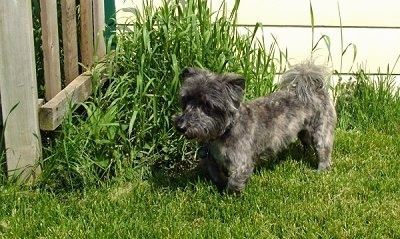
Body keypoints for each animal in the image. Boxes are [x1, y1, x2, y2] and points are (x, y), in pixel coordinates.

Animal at [172, 61, 338, 194]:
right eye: (185, 101)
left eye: (206, 105)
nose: (180, 126)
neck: (225, 131)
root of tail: (315, 88)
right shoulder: (211, 159)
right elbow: (217, 175)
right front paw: (221, 185)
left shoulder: (240, 162)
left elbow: (235, 181)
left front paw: (228, 197)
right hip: (304, 132)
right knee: (307, 143)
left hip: (320, 132)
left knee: (323, 151)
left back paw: (321, 170)